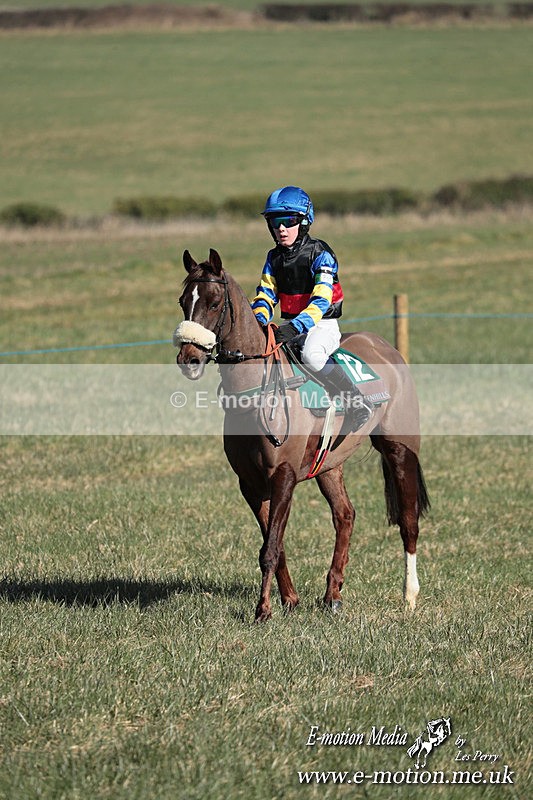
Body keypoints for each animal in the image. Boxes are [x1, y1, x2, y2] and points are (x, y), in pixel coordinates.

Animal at [174, 248, 429, 623]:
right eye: (183, 302)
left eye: (214, 302)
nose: (188, 358)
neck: (256, 392)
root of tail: (383, 344)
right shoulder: (249, 482)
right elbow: (274, 543)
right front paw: (289, 599)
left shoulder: (284, 475)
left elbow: (270, 547)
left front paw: (263, 610)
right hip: (329, 465)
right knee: (345, 515)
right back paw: (332, 593)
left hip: (400, 449)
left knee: (408, 521)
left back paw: (409, 595)